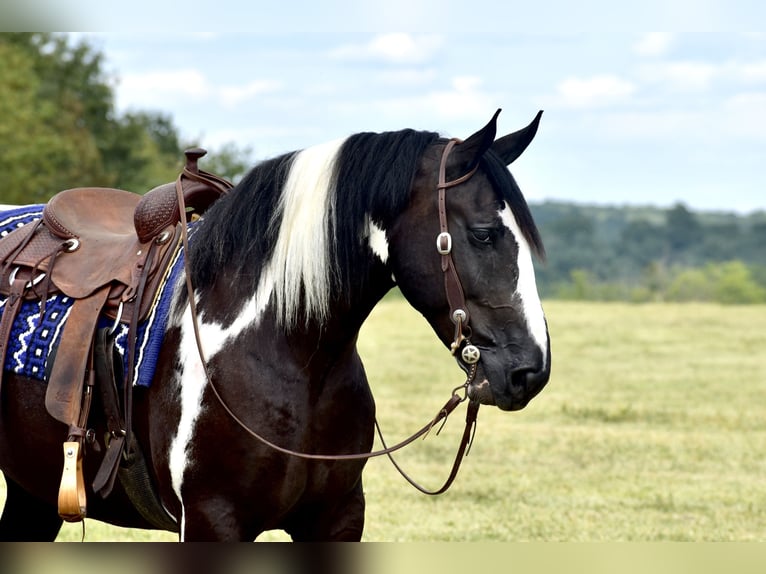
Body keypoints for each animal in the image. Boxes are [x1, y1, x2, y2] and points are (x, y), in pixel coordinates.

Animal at [0, 109, 552, 544]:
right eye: (483, 234)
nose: (531, 370)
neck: (289, 351)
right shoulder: (213, 521)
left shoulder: (336, 518)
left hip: (32, 490)